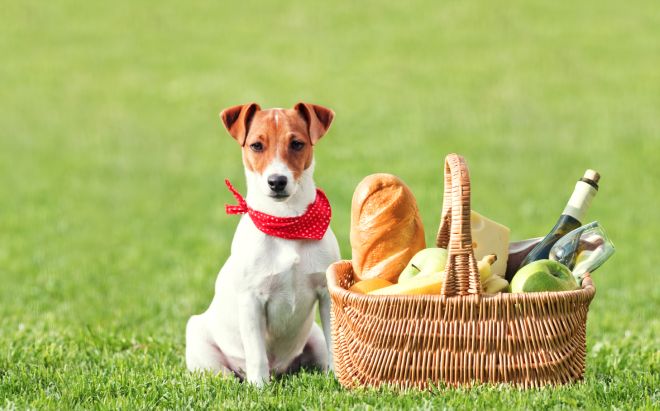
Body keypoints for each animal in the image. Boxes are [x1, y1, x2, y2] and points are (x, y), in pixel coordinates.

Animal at [186, 103, 340, 386]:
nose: (277, 181)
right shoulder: (251, 301)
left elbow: (337, 342)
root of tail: (281, 371)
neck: (286, 223)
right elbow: (256, 353)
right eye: (256, 145)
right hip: (201, 342)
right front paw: (259, 388)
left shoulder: (326, 294)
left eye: (297, 144)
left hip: (312, 335)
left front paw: (341, 381)